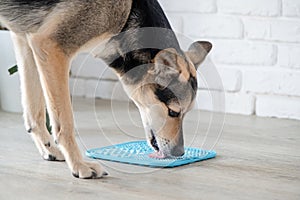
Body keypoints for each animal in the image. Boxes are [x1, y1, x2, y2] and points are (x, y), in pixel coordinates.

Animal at [0, 0, 212, 178]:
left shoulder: (25, 39)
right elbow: (65, 123)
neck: (129, 12)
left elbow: (33, 113)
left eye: (185, 113)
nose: (179, 153)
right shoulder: (51, 46)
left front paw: (49, 149)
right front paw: (79, 165)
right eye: (173, 112)